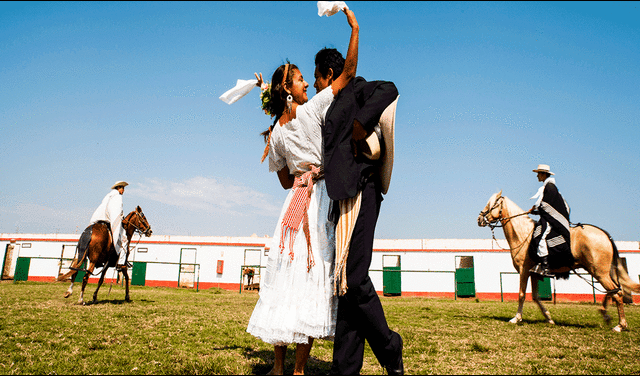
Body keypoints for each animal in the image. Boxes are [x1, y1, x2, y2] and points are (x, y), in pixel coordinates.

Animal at [480, 192, 640, 330]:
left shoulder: (524, 271)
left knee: (617, 293)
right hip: (600, 272)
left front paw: (516, 318)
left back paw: (620, 325)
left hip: (600, 272)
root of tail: (605, 235)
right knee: (614, 290)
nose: (479, 218)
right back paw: (606, 314)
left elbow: (521, 294)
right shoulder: (534, 273)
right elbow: (536, 297)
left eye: (491, 205)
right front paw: (549, 318)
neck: (524, 234)